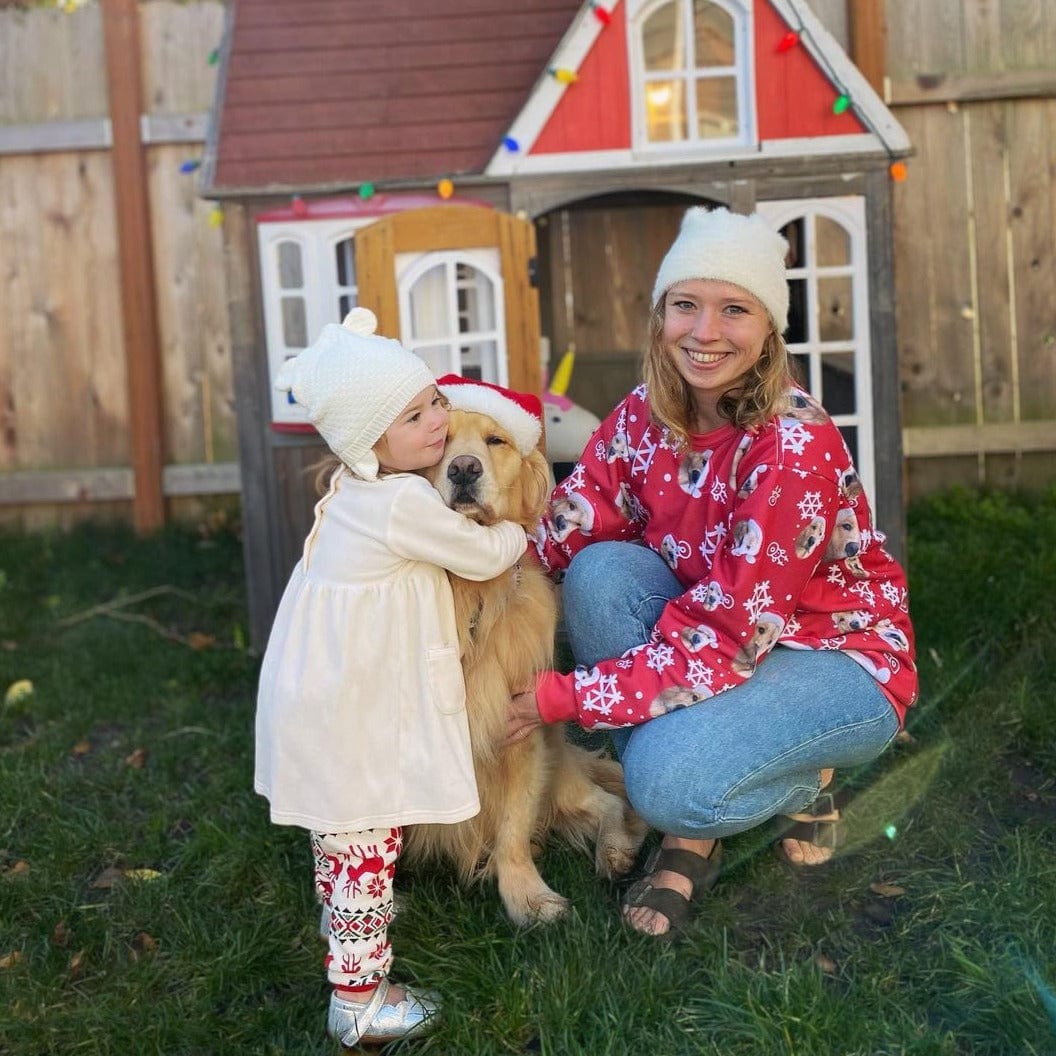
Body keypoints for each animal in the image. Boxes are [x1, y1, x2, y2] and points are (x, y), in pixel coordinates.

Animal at [407, 407, 646, 920]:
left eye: (496, 441)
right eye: (439, 439)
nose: (463, 469)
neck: (470, 593)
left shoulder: (522, 734)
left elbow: (514, 826)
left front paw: (527, 895)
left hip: (560, 772)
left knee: (608, 804)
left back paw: (615, 849)